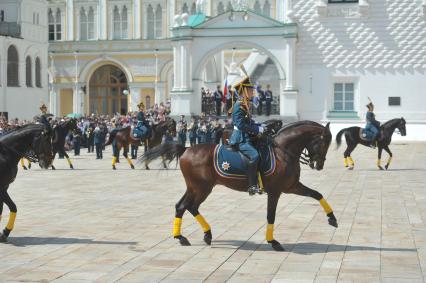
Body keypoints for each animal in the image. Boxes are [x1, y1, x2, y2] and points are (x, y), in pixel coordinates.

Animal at [141, 121, 336, 252]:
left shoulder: (292, 186)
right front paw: (273, 242)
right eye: (324, 142)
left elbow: (317, 194)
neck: (283, 151)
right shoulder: (275, 192)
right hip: (201, 188)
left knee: (187, 206)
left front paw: (332, 219)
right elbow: (270, 216)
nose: (319, 165)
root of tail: (186, 149)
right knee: (185, 206)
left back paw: (203, 235)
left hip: (196, 187)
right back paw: (183, 237)